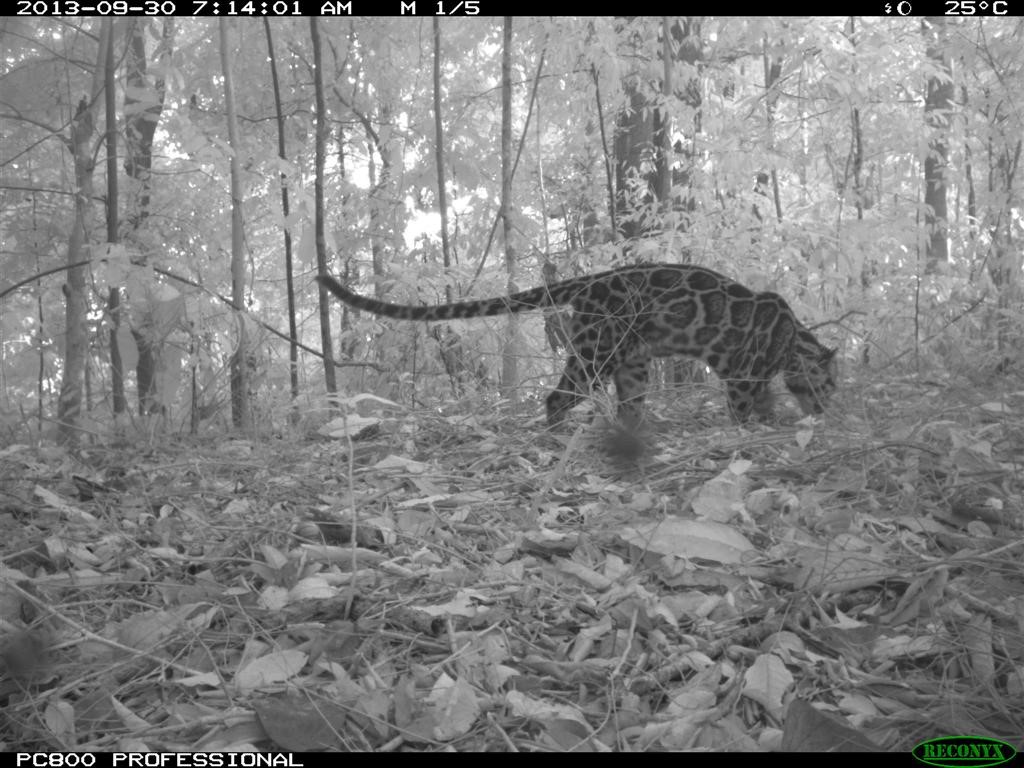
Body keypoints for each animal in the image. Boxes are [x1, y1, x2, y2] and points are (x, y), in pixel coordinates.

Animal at [315, 264, 835, 428]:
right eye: (830, 383)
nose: (831, 403)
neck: (794, 339)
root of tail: (592, 279)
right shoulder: (744, 373)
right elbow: (745, 408)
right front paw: (756, 430)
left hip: (632, 363)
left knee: (628, 405)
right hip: (595, 354)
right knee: (556, 397)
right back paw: (557, 432)